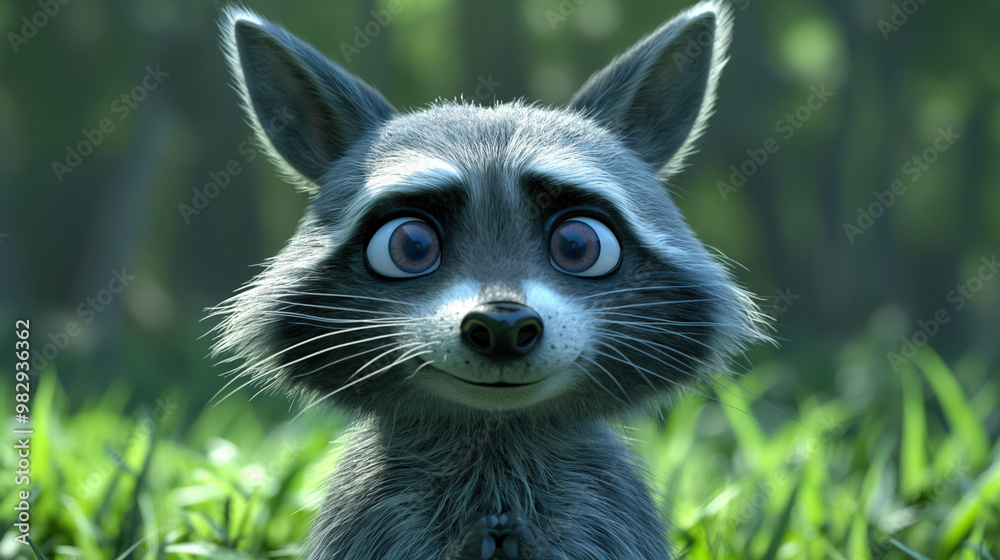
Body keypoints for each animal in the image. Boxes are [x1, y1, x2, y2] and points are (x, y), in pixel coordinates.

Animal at [212, 2, 768, 558]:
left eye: (578, 244)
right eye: (410, 245)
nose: (503, 325)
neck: (494, 430)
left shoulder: (604, 512)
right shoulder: (374, 514)